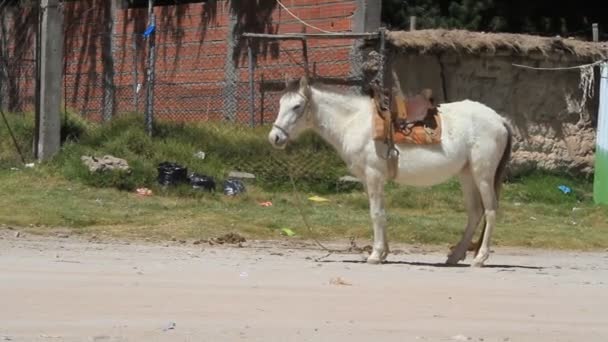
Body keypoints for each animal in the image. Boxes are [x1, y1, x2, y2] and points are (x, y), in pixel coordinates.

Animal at [268, 76, 510, 266]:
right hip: (467, 175)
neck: (354, 122)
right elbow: (381, 213)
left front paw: (375, 255)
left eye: (297, 106)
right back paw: (455, 256)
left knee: (490, 211)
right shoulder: (370, 180)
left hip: (483, 175)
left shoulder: (374, 175)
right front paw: (383, 253)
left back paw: (480, 258)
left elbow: (375, 214)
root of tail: (500, 119)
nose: (275, 138)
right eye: (279, 103)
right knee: (475, 213)